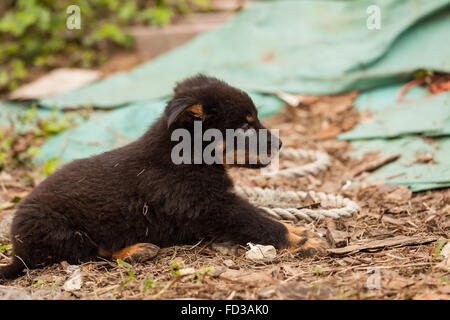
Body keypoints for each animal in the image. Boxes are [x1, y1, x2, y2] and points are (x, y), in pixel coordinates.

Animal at [1, 75, 328, 280]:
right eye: (246, 127)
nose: (281, 144)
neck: (182, 158)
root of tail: (18, 252)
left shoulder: (221, 200)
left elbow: (264, 214)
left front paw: (299, 229)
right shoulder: (214, 207)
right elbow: (261, 222)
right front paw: (303, 241)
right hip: (58, 228)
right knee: (94, 254)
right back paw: (135, 250)